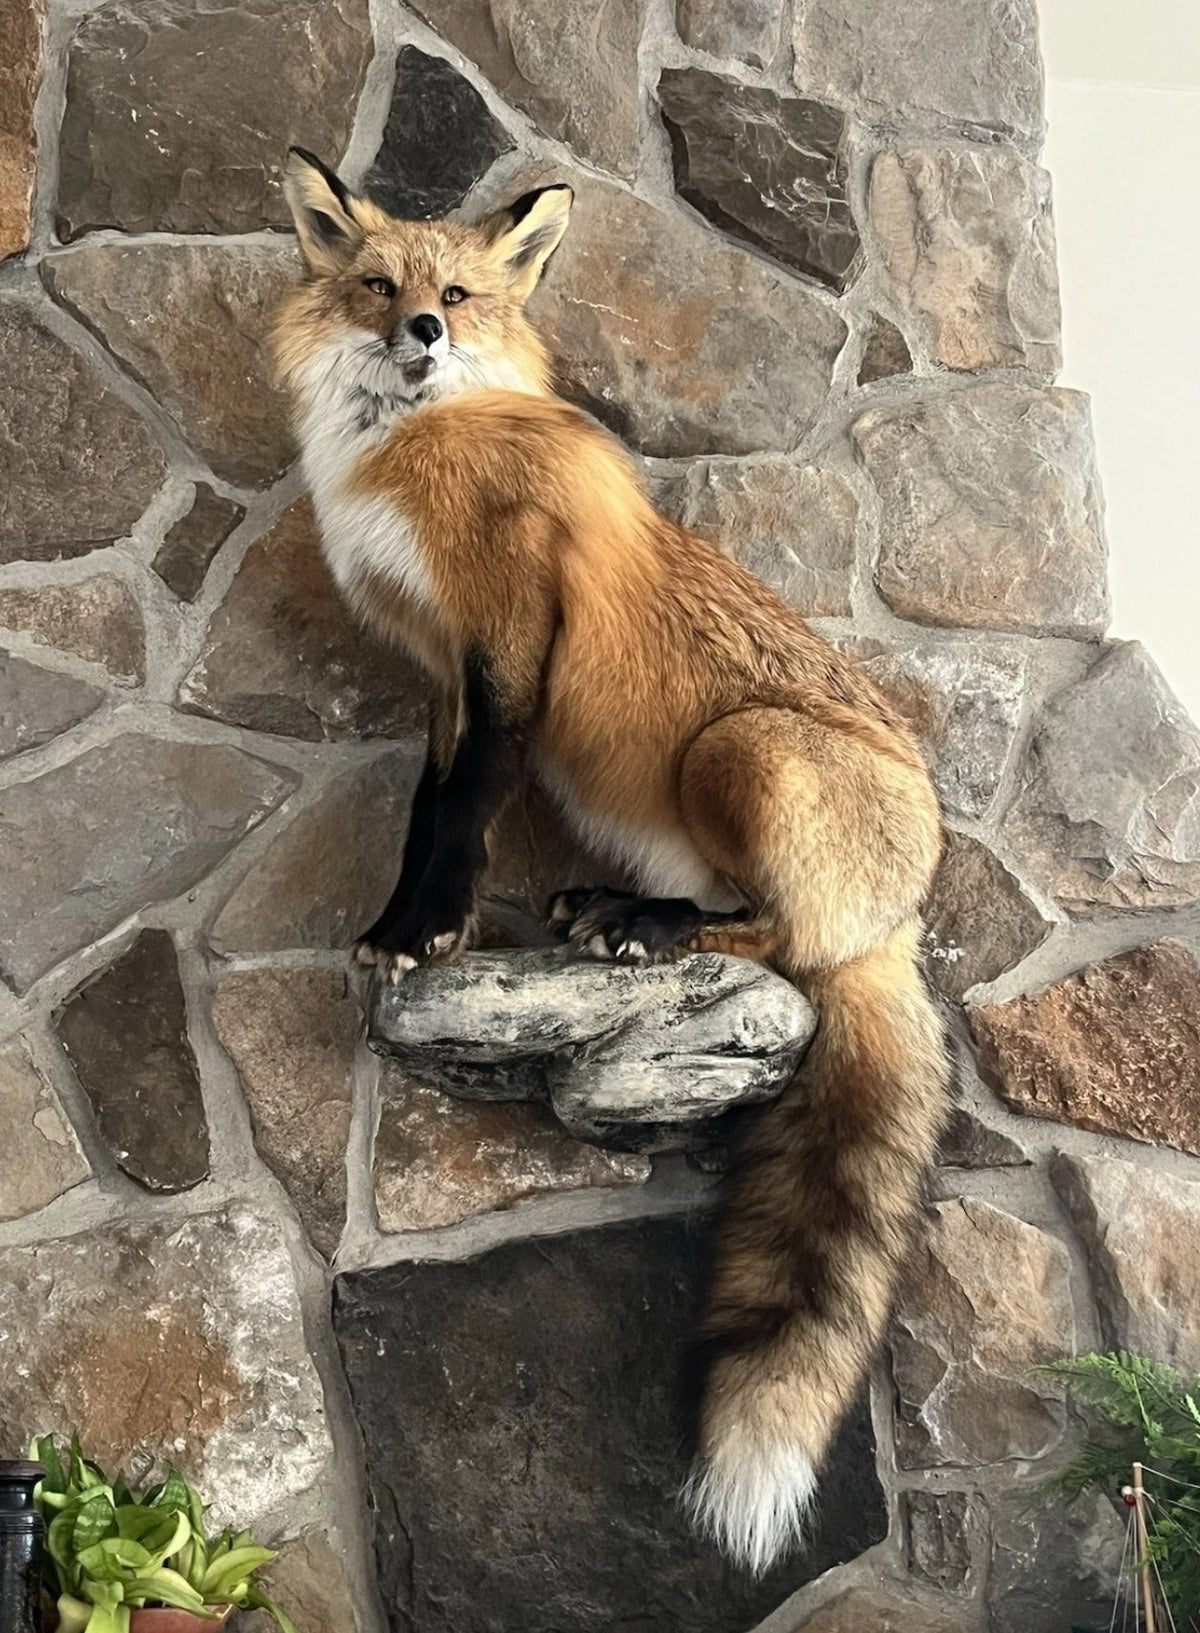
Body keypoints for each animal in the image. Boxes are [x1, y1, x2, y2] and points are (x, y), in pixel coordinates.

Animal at [273, 146, 950, 1575]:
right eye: (380, 287)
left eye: (461, 298)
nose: (423, 334)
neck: (412, 451)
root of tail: (903, 922)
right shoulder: (439, 673)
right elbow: (425, 812)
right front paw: (401, 926)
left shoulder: (510, 643)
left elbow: (467, 811)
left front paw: (428, 932)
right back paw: (611, 904)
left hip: (741, 754)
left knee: (784, 947)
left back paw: (650, 931)